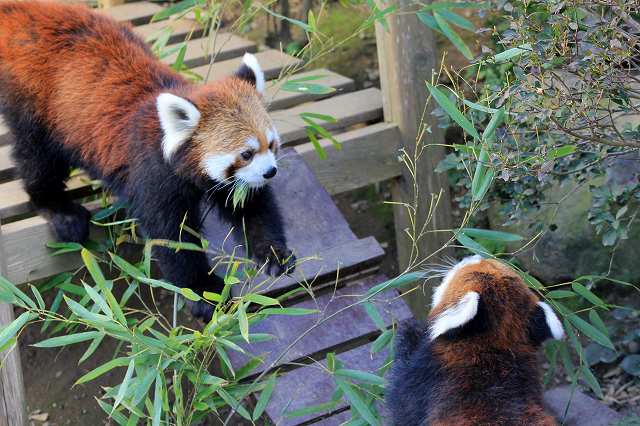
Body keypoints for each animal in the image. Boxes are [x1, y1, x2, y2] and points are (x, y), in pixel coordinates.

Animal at [0, 1, 295, 317]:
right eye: (246, 154)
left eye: (271, 145)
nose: (270, 172)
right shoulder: (153, 176)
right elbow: (172, 238)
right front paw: (204, 292)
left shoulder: (230, 184)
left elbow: (251, 207)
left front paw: (274, 253)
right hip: (34, 102)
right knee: (37, 158)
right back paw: (59, 209)